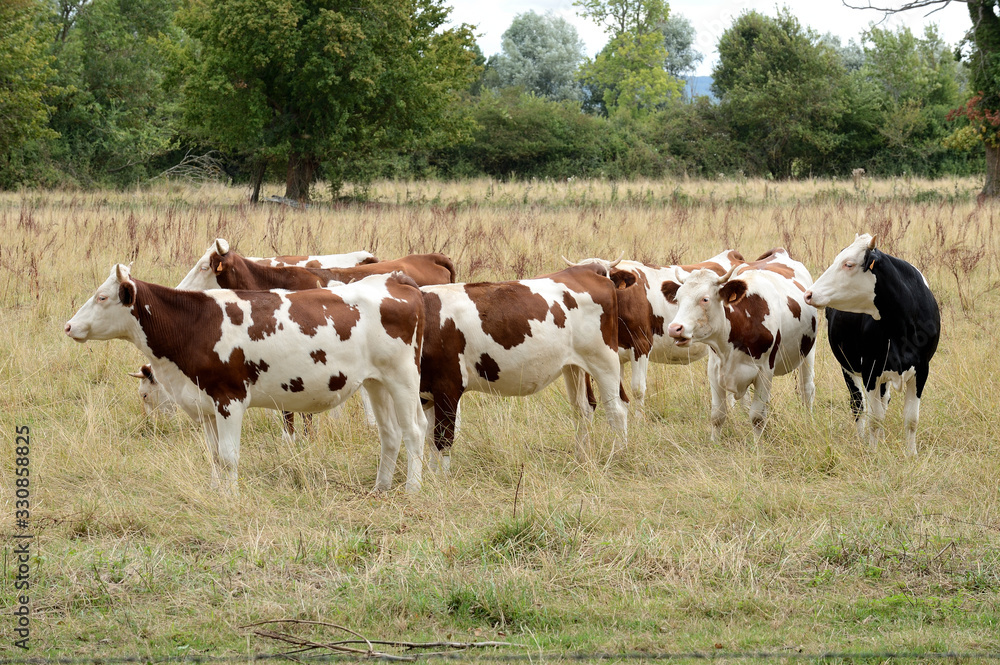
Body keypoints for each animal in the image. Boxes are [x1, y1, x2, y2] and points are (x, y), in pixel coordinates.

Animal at [66, 266, 426, 492]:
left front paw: (232, 496)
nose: (69, 326)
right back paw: (380, 487)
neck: (195, 323)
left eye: (102, 297)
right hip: (377, 382)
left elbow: (228, 456)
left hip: (403, 378)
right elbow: (213, 456)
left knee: (413, 431)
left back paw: (412, 488)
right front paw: (216, 491)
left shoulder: (230, 399)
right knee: (390, 433)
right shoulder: (206, 406)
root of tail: (394, 280)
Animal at [420, 262, 624, 474]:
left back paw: (617, 457)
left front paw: (442, 478)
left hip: (604, 360)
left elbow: (443, 439)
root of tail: (586, 269)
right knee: (582, 410)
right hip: (573, 366)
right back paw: (581, 459)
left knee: (616, 411)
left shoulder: (448, 386)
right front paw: (433, 476)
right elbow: (430, 439)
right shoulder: (428, 393)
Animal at [668, 246, 816, 438]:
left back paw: (808, 419)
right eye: (677, 299)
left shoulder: (764, 372)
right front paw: (714, 442)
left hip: (808, 351)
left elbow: (757, 417)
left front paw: (757, 444)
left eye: (705, 299)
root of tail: (779, 251)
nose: (674, 328)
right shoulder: (714, 370)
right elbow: (717, 415)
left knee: (807, 389)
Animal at [804, 233, 936, 456]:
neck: (901, 326)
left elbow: (911, 419)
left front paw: (911, 454)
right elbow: (875, 419)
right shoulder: (870, 369)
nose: (809, 294)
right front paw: (874, 452)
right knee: (858, 405)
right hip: (848, 366)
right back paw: (863, 438)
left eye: (848, 264)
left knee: (883, 401)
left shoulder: (921, 369)